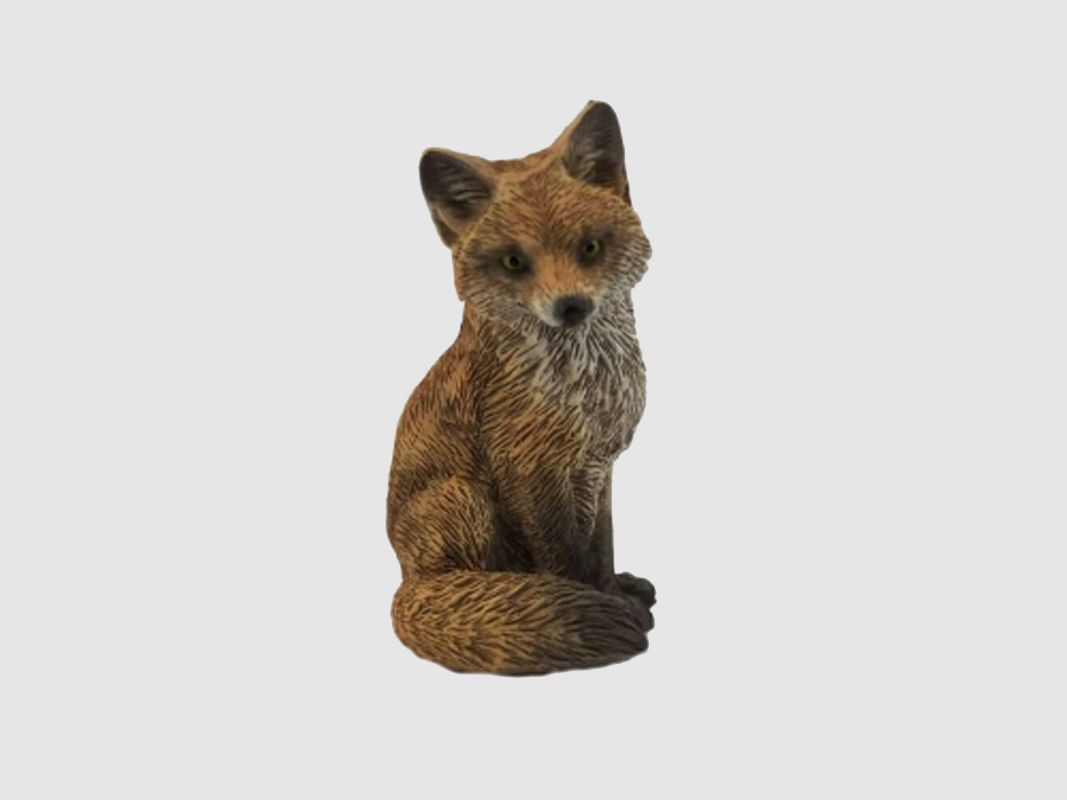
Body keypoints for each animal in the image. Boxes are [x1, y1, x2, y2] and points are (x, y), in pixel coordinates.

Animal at [387, 101, 656, 675]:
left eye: (590, 247)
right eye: (514, 262)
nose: (571, 307)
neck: (586, 388)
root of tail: (405, 582)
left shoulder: (599, 464)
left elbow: (601, 546)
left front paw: (610, 589)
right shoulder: (530, 467)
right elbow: (564, 559)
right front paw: (592, 603)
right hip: (462, 498)